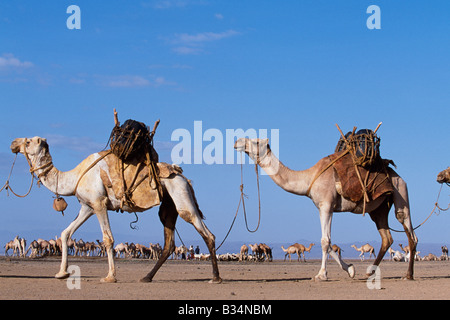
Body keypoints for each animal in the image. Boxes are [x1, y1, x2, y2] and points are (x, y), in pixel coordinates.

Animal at [10, 136, 221, 284]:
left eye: (28, 141)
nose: (13, 143)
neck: (74, 177)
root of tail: (185, 178)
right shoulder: (87, 207)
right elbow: (65, 233)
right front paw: (61, 273)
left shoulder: (99, 203)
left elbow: (108, 238)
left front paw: (110, 276)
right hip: (169, 206)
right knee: (169, 243)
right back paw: (146, 277)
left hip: (182, 196)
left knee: (206, 233)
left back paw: (215, 278)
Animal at [236, 137, 418, 280]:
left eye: (256, 141)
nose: (237, 141)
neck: (309, 178)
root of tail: (398, 176)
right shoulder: (321, 208)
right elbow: (328, 242)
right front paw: (350, 269)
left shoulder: (327, 206)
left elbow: (325, 241)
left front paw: (321, 275)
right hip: (378, 209)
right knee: (387, 237)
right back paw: (370, 273)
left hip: (400, 192)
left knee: (410, 233)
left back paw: (408, 275)